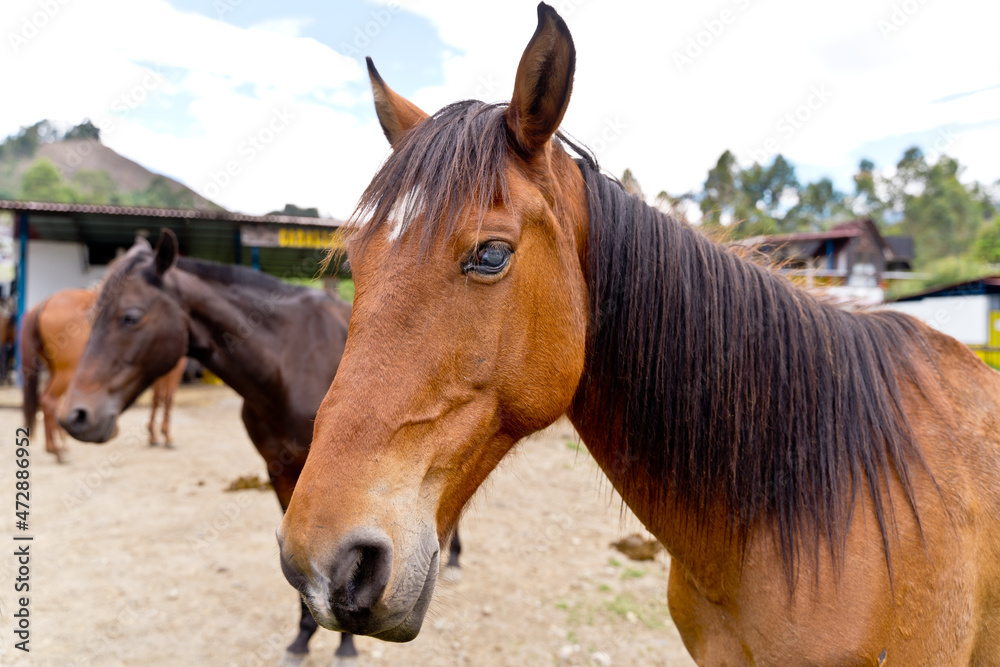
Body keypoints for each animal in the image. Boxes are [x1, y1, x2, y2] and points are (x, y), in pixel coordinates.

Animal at [21, 288, 187, 461]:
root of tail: (46, 301)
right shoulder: (175, 366)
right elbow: (167, 399)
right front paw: (166, 436)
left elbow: (156, 399)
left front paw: (153, 435)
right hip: (67, 372)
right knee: (49, 400)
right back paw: (56, 450)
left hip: (57, 371)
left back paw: (58, 443)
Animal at [56, 233, 463, 666]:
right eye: (91, 318)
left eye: (130, 317)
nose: (76, 416)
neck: (285, 364)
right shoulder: (281, 475)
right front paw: (301, 639)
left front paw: (345, 645)